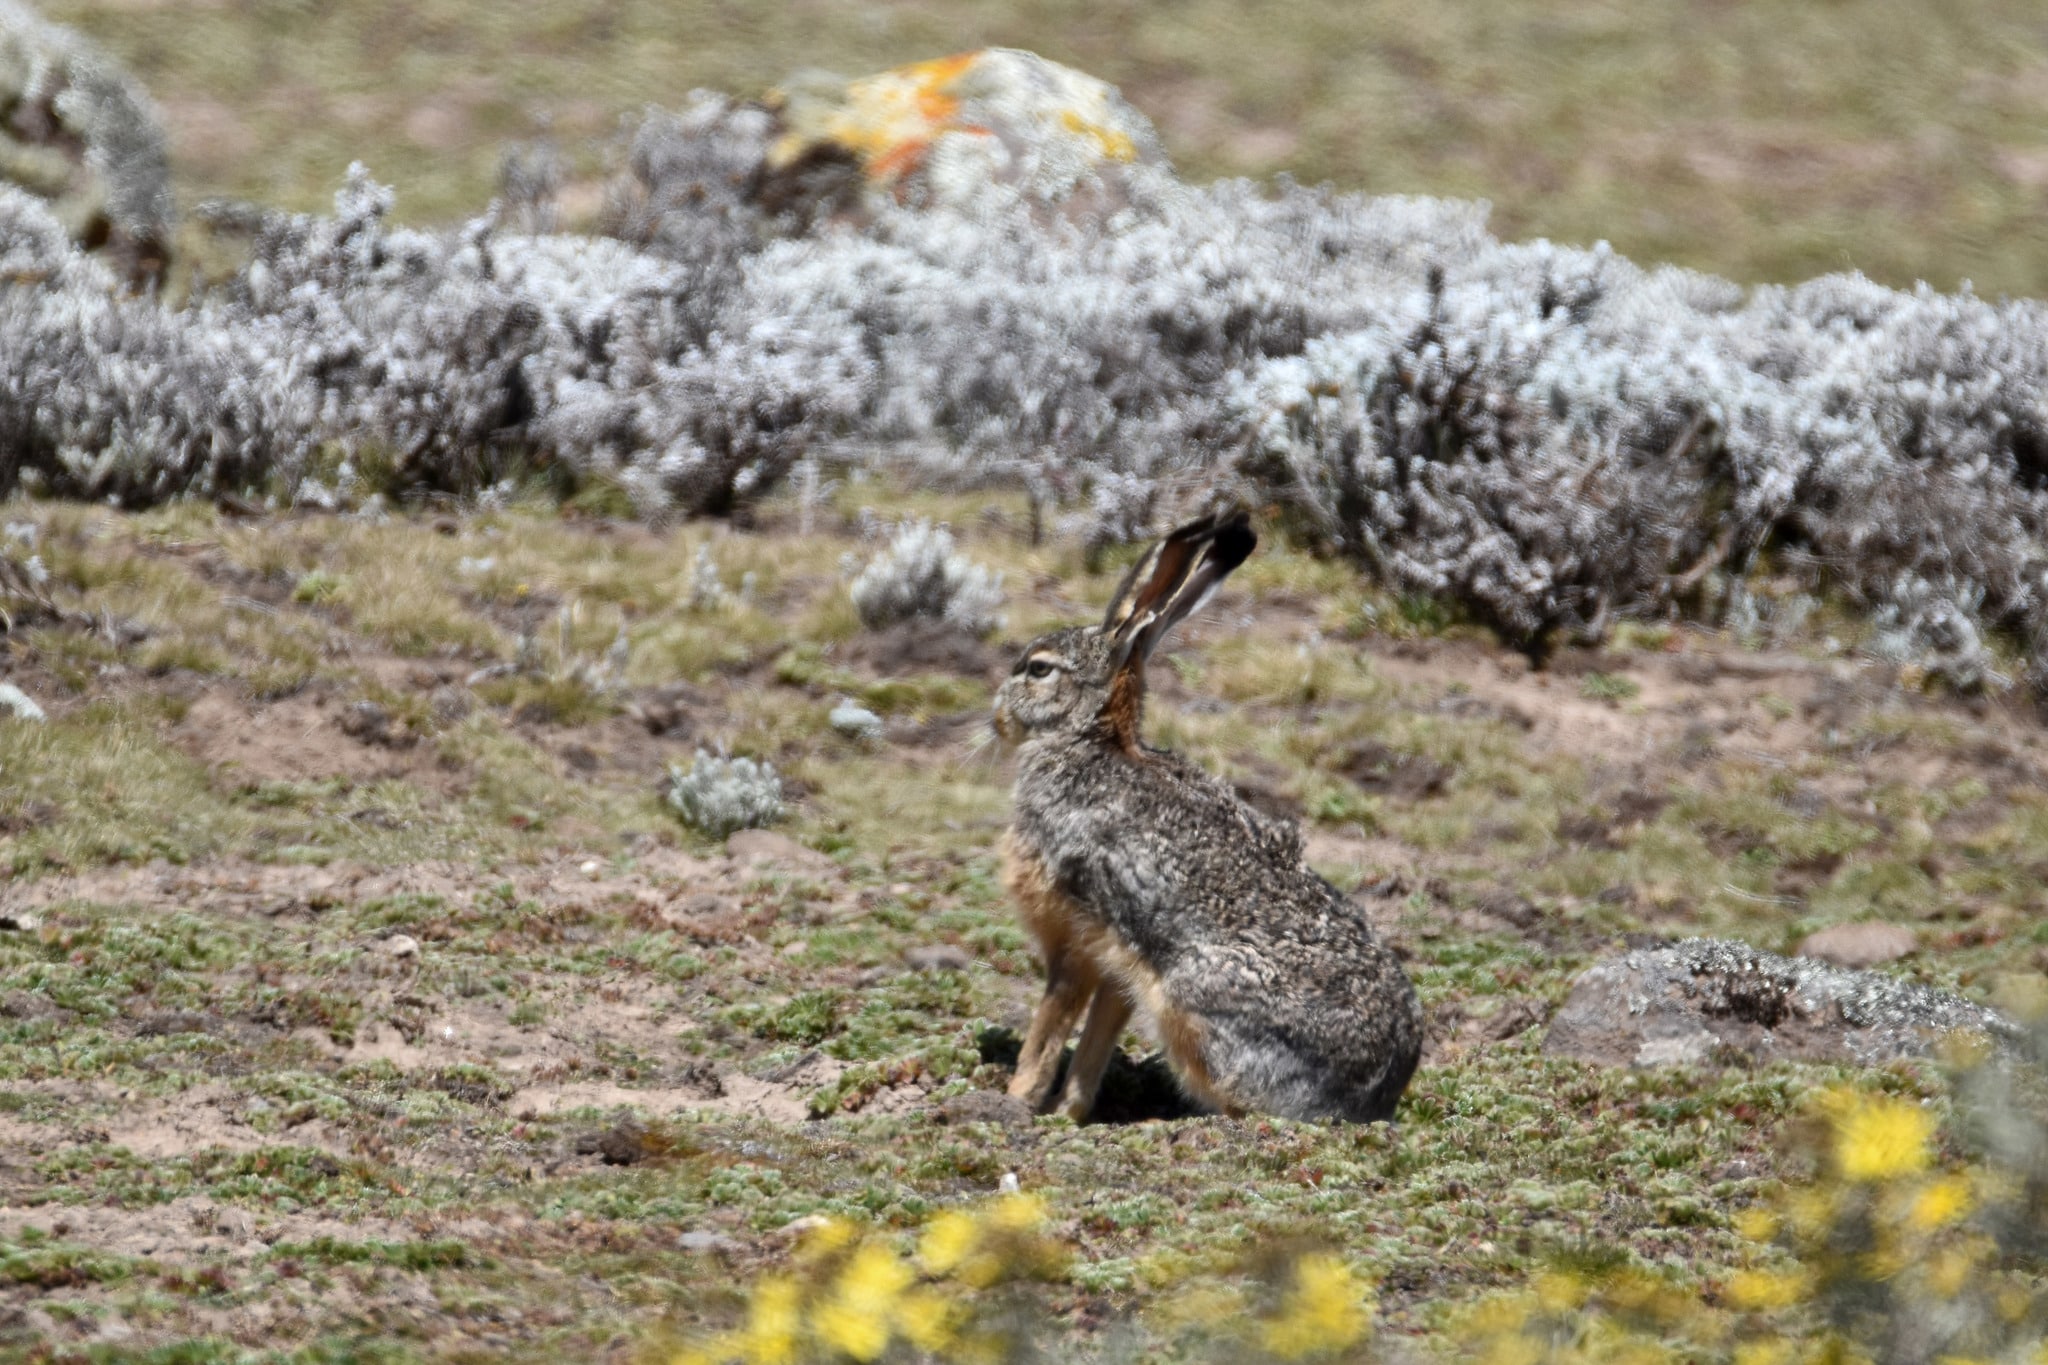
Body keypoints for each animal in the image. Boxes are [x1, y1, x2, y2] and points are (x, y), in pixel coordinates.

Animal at [992, 509, 1421, 1123]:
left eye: (1038, 669)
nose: (997, 719)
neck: (1092, 739)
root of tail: (1369, 1099)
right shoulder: (1118, 968)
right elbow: (1095, 1042)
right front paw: (1067, 1112)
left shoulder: (1074, 936)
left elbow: (1049, 1030)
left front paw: (1016, 1100)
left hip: (1191, 1004)